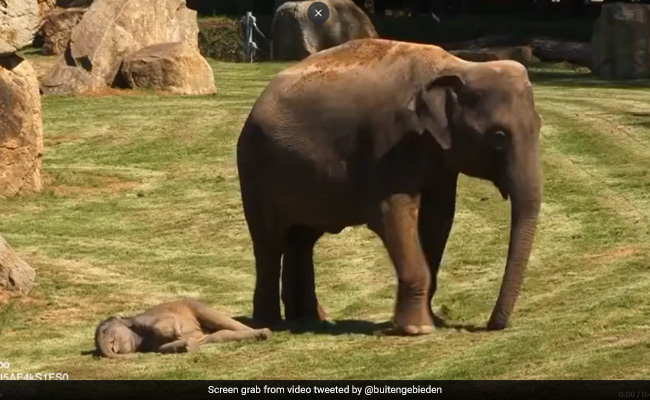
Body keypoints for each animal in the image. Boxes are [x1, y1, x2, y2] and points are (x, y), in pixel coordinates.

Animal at [237, 38, 542, 334]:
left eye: (539, 127)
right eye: (499, 137)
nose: (491, 325)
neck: (459, 66)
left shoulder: (438, 159)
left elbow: (439, 216)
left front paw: (430, 320)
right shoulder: (390, 140)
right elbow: (394, 213)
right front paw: (418, 329)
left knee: (301, 239)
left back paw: (310, 320)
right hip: (254, 169)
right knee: (269, 242)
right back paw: (269, 323)